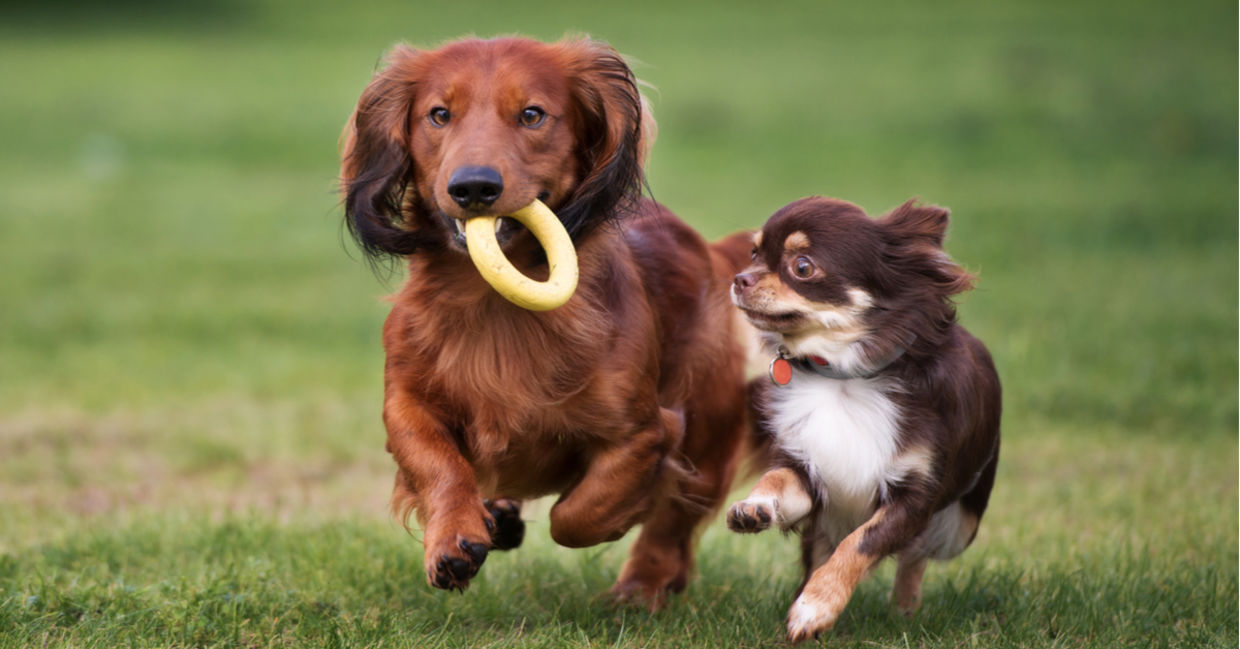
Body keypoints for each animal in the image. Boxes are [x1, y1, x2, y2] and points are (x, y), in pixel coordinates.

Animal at [337, 36, 753, 610]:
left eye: (532, 114)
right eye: (439, 114)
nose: (473, 187)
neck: (494, 303)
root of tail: (707, 248)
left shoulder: (645, 431)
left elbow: (577, 515)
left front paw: (618, 515)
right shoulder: (405, 402)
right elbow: (439, 464)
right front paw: (453, 540)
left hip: (708, 431)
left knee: (672, 526)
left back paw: (640, 588)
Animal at [724, 197, 996, 640]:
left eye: (803, 267)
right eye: (753, 253)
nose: (739, 279)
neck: (843, 376)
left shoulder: (914, 499)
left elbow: (860, 543)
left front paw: (817, 606)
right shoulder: (810, 470)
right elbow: (777, 478)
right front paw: (756, 505)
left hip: (961, 526)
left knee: (915, 556)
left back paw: (903, 609)